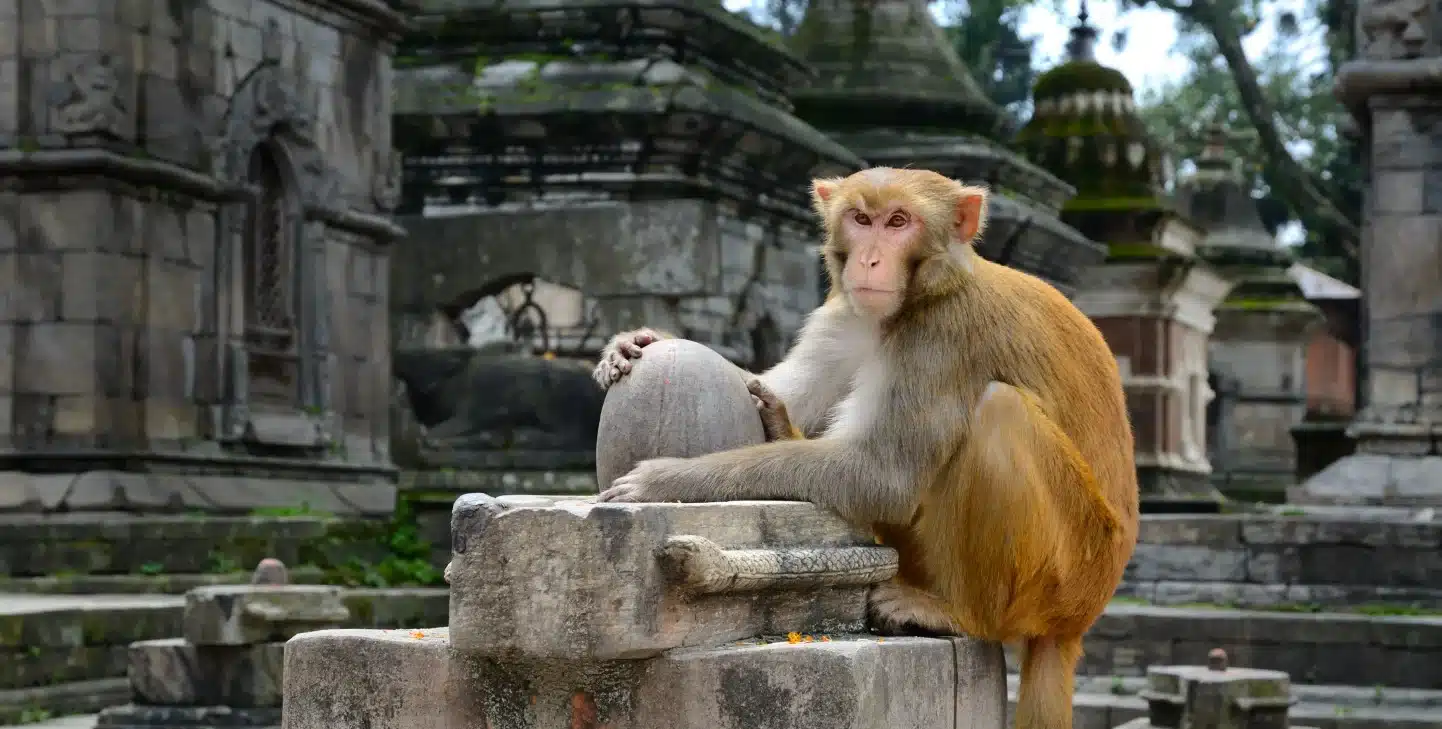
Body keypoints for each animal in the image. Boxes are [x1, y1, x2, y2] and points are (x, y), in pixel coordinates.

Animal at [591, 168, 1139, 729]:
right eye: (861, 218)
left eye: (899, 221)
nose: (870, 259)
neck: (912, 301)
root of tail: (1078, 621)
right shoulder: (843, 317)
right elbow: (773, 391)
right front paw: (636, 342)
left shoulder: (944, 336)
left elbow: (883, 476)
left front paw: (667, 479)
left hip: (1066, 576)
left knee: (998, 413)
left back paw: (961, 614)